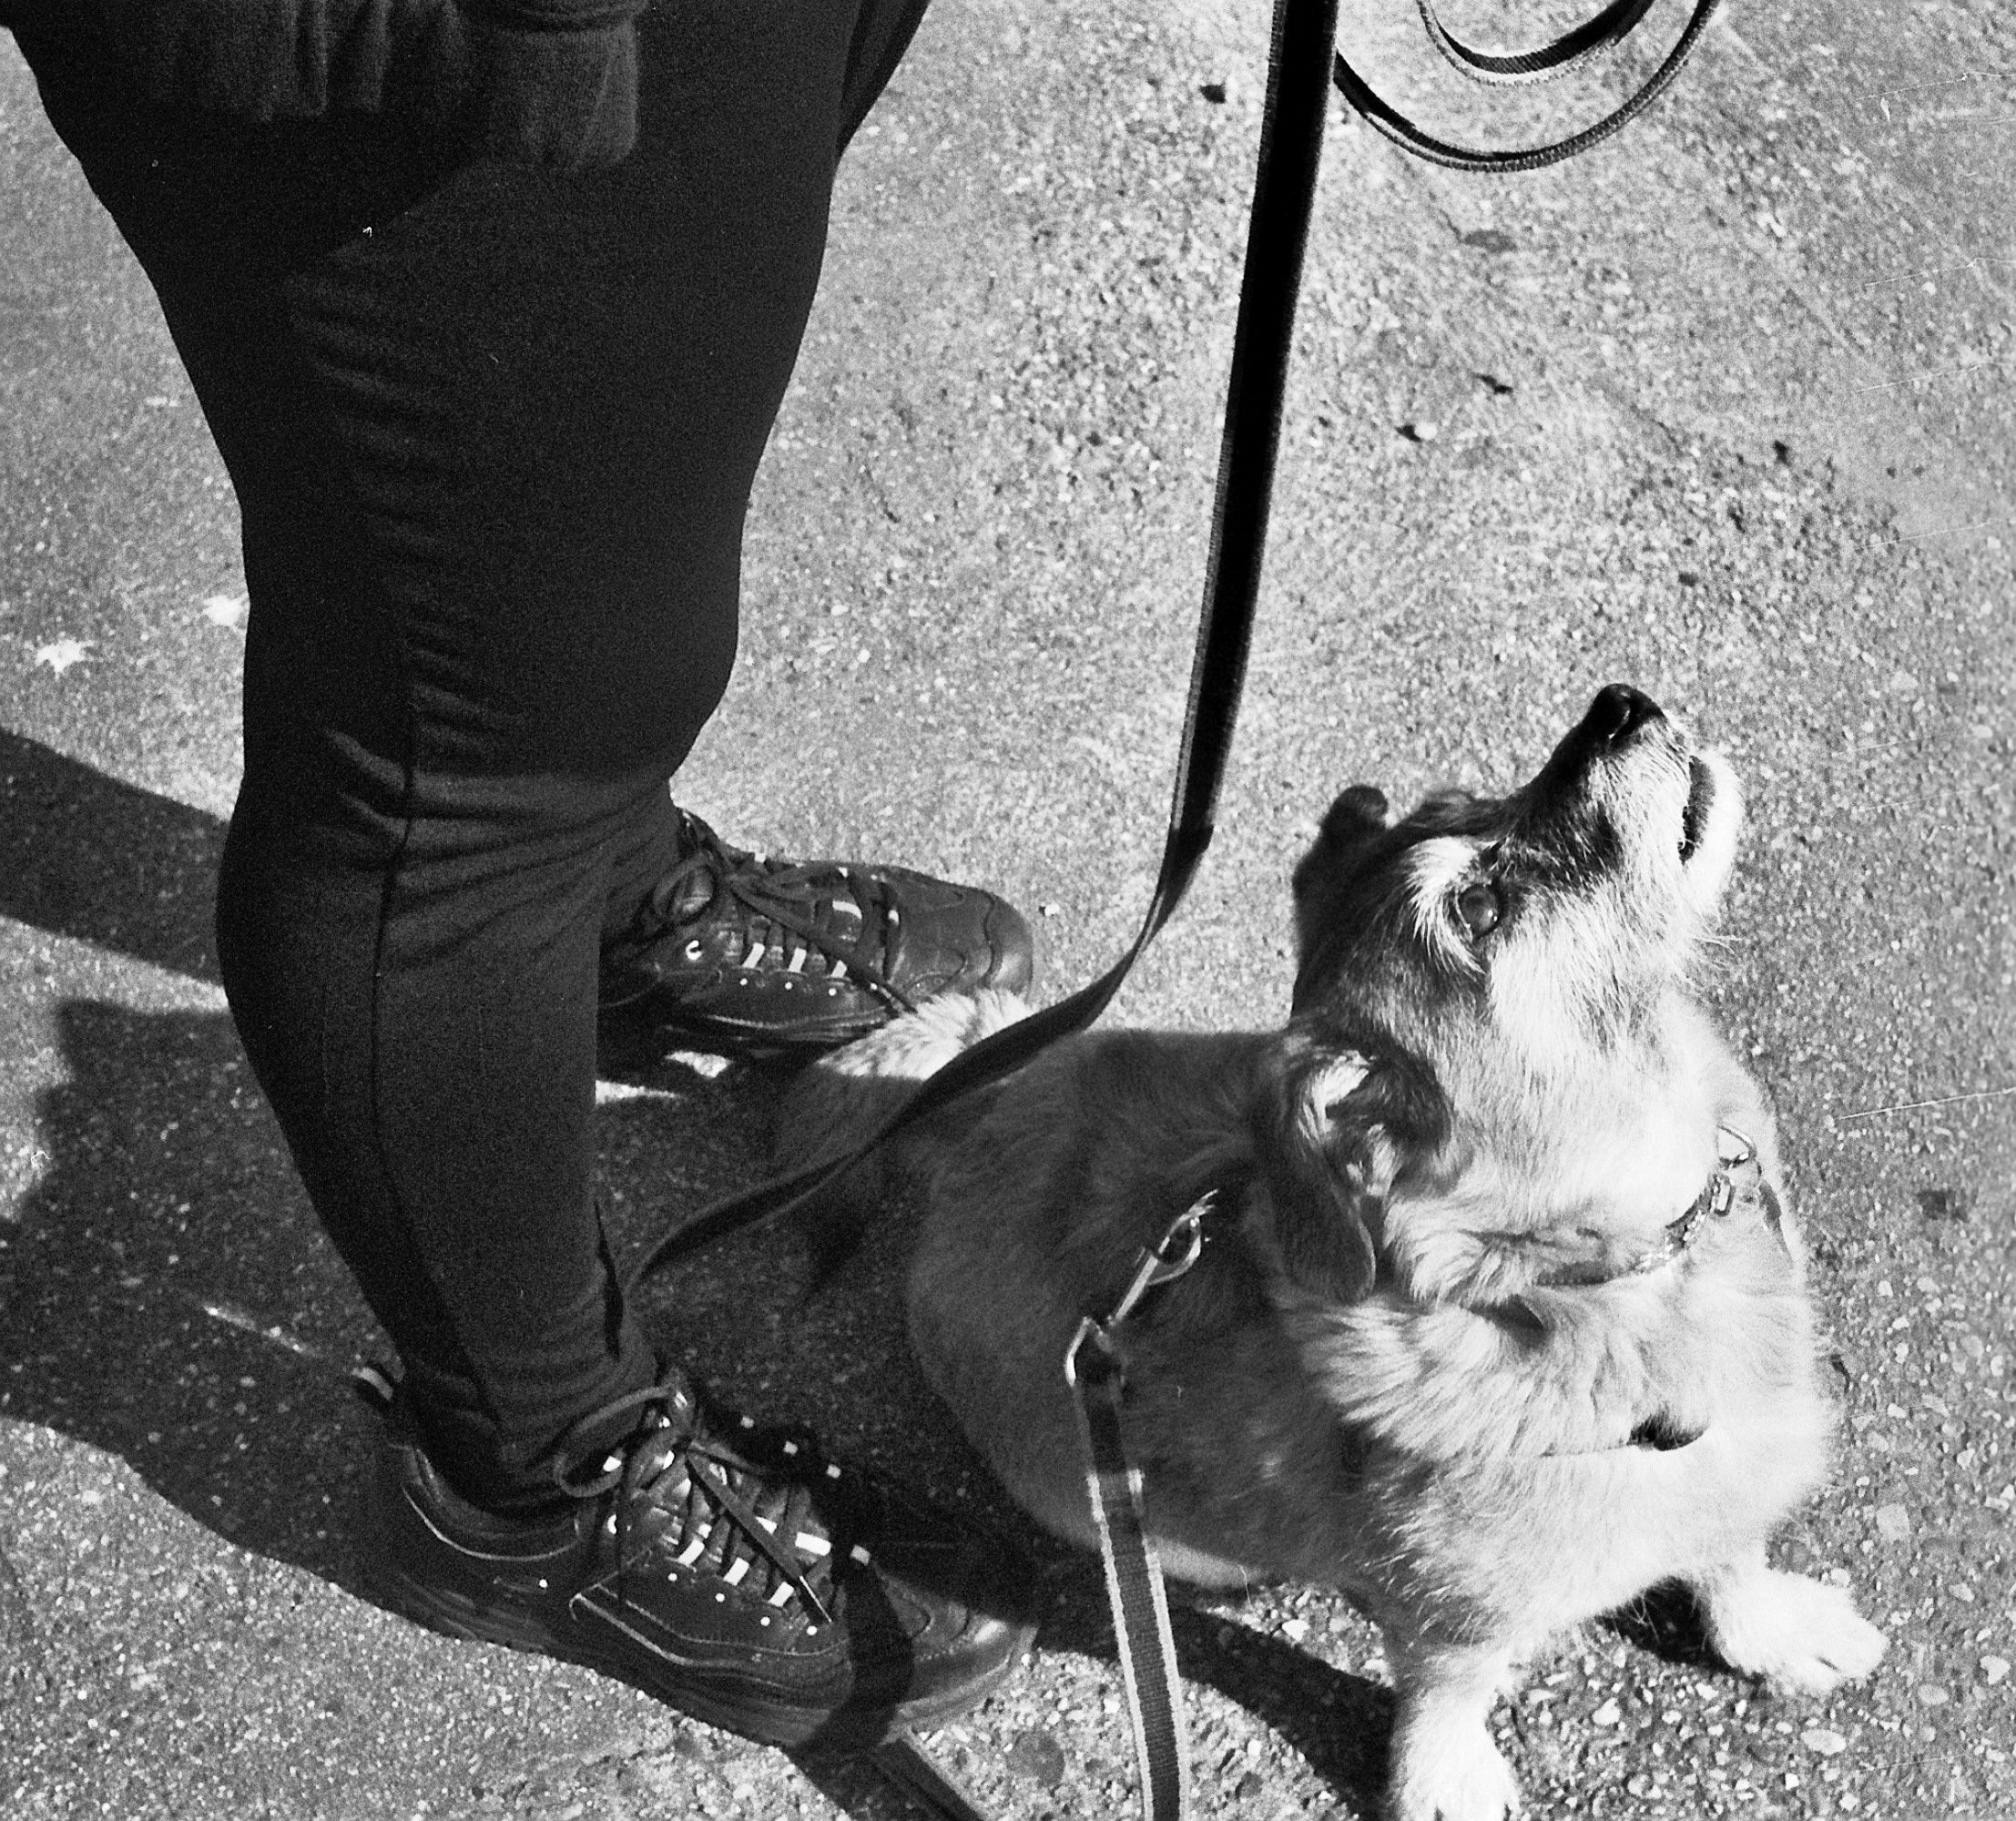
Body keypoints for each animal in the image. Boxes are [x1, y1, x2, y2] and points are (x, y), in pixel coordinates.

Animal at [778, 686, 1879, 1821]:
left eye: (1472, 798)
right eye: (1479, 906)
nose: (1618, 704)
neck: (1591, 1279)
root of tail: (982, 1102)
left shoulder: (1730, 1469)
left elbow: (1731, 1556)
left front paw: (1774, 1630)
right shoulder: (1448, 1617)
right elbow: (1449, 1687)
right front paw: (1445, 1777)